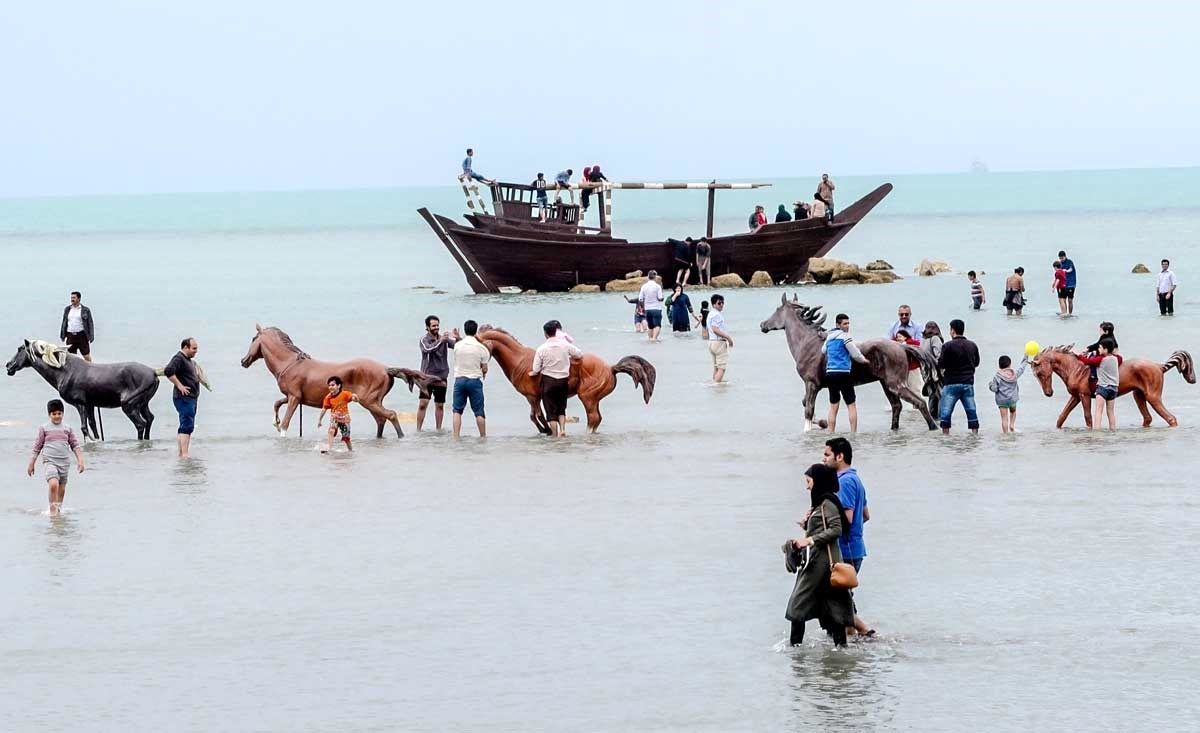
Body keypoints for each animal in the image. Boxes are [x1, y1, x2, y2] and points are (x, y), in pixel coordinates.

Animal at [5, 340, 162, 439]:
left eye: (20, 349)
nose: (8, 365)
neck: (65, 371)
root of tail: (153, 373)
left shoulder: (79, 404)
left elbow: (84, 428)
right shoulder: (90, 404)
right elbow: (93, 426)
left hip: (129, 406)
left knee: (140, 424)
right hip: (143, 404)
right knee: (149, 419)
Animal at [237, 326, 436, 439]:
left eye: (253, 339)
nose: (243, 361)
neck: (290, 363)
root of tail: (386, 369)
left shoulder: (294, 398)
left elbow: (286, 423)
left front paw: (280, 430)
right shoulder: (293, 397)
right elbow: (277, 403)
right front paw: (275, 422)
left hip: (370, 401)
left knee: (391, 415)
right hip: (373, 402)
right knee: (381, 419)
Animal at [475, 326, 657, 436]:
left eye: (479, 343)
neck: (519, 359)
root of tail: (611, 368)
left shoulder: (532, 397)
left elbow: (537, 416)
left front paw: (546, 430)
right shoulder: (534, 397)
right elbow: (535, 416)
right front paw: (546, 430)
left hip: (587, 397)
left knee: (593, 418)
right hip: (594, 399)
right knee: (597, 418)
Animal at [763, 295, 940, 431]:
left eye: (777, 309)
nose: (763, 325)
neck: (807, 343)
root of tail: (901, 346)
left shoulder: (811, 384)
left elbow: (808, 409)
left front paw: (810, 429)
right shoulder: (816, 386)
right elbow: (805, 403)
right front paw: (821, 422)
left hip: (896, 384)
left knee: (919, 402)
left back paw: (933, 428)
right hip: (886, 385)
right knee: (897, 406)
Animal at [1027, 345, 1195, 429]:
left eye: (1040, 373)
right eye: (1036, 375)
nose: (1048, 393)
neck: (1075, 368)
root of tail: (1159, 366)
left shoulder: (1084, 396)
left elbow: (1088, 417)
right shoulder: (1075, 396)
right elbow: (1062, 416)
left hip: (1153, 397)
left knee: (1171, 418)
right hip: (1138, 395)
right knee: (1147, 418)